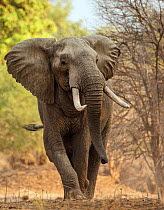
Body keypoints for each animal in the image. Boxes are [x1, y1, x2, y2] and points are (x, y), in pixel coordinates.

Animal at [4, 35, 129, 199]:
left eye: (96, 60)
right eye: (63, 62)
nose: (106, 160)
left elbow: (82, 145)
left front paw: (80, 197)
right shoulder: (48, 104)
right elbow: (54, 145)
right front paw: (74, 197)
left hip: (108, 119)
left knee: (94, 153)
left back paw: (88, 196)